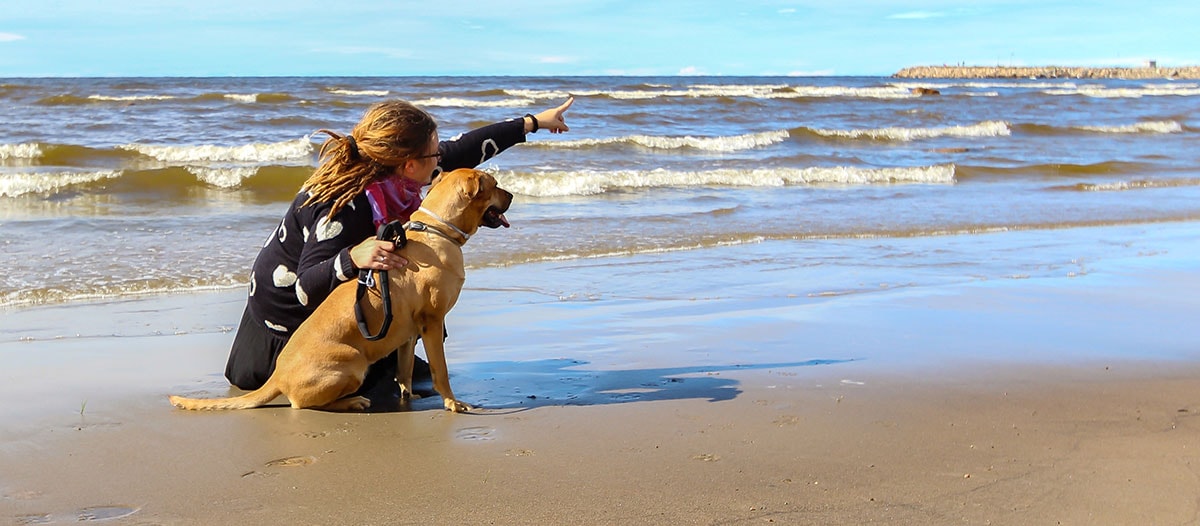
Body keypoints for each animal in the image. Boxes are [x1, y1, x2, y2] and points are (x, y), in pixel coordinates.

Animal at [168, 166, 511, 410]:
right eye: (494, 185)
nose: (510, 195)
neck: (436, 229)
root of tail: (277, 376)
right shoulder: (431, 322)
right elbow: (440, 370)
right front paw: (453, 402)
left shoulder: (409, 332)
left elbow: (405, 370)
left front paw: (408, 396)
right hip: (353, 364)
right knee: (303, 404)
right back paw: (353, 401)